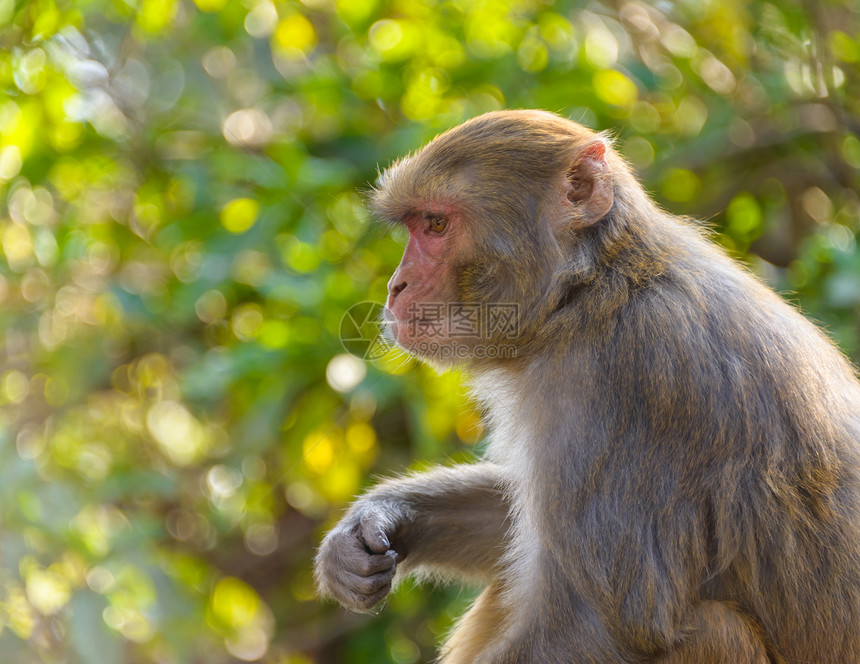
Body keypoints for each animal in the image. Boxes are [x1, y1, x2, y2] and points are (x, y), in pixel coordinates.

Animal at [314, 111, 860, 660]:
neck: (592, 292)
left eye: (436, 224)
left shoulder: (632, 374)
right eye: (415, 225)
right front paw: (370, 526)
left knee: (715, 627)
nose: (396, 286)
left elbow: (610, 623)